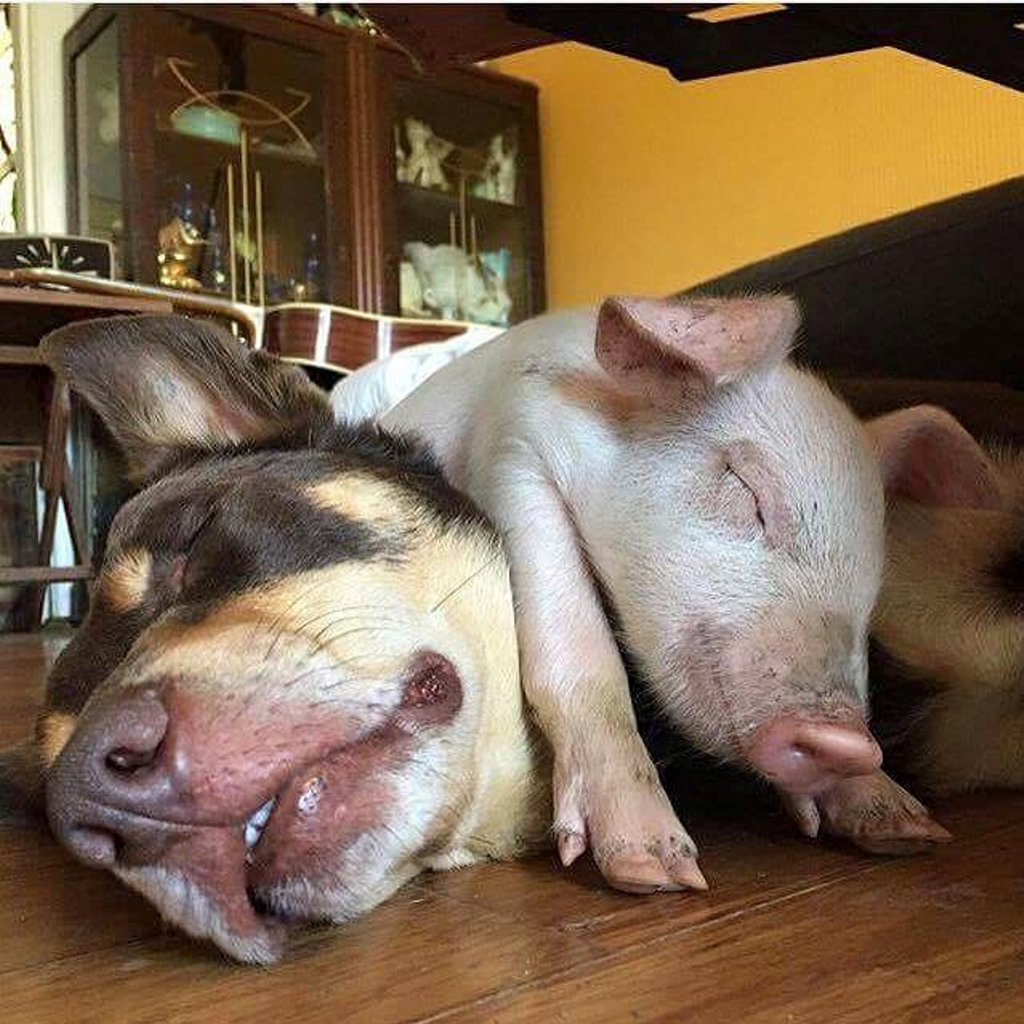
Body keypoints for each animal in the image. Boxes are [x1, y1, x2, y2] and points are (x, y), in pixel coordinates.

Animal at [384, 295, 952, 893]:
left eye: (876, 569)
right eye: (747, 490)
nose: (845, 740)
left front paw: (910, 831)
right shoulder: (516, 454)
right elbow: (580, 657)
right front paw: (658, 872)